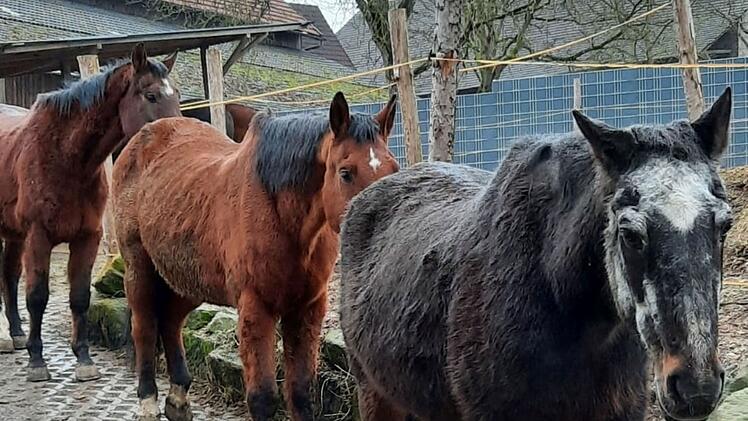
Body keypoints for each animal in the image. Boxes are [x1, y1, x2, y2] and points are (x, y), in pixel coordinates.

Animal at [0, 43, 181, 382]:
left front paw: (83, 359)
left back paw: (15, 334)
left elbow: (80, 297)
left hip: (14, 235)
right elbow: (37, 297)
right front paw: (37, 361)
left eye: (176, 94)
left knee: (9, 275)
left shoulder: (88, 237)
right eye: (150, 95)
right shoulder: (37, 238)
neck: (64, 158)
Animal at [112, 92, 399, 421]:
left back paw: (178, 400)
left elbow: (301, 392)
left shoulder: (307, 308)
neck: (283, 217)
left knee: (171, 321)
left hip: (184, 276)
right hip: (139, 268)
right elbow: (262, 398)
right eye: (345, 172)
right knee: (144, 327)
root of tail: (141, 140)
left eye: (394, 169)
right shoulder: (255, 308)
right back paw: (148, 401)